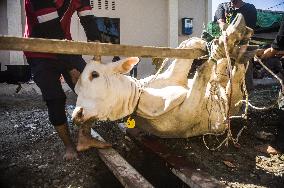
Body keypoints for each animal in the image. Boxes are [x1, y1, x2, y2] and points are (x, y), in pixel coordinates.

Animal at [72, 13, 256, 138]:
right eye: (76, 89)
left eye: (94, 74)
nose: (77, 115)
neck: (141, 96)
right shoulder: (190, 109)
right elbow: (203, 71)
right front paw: (216, 47)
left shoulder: (171, 76)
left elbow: (185, 46)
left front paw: (201, 42)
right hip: (232, 99)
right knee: (235, 71)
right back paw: (235, 38)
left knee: (226, 68)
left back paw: (239, 38)